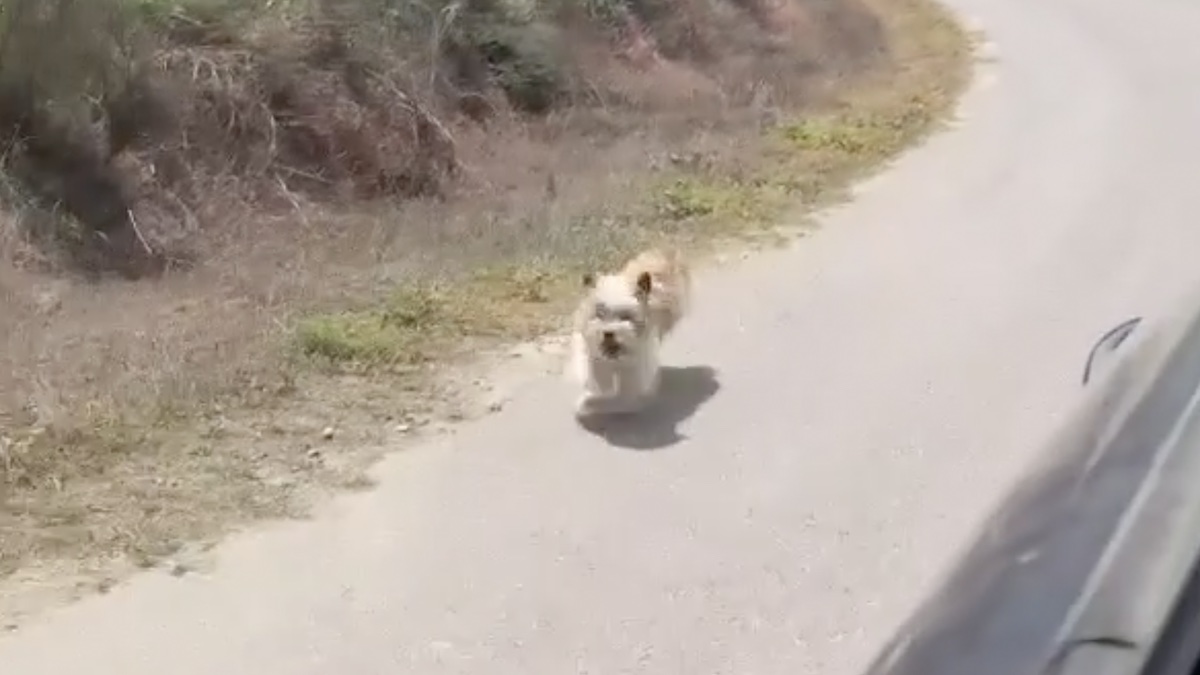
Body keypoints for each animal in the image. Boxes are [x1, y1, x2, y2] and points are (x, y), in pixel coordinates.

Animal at [566, 247, 691, 415]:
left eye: (626, 316)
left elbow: (621, 397)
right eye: (600, 313)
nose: (608, 333)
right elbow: (596, 375)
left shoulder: (633, 372)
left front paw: (589, 404)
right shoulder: (591, 352)